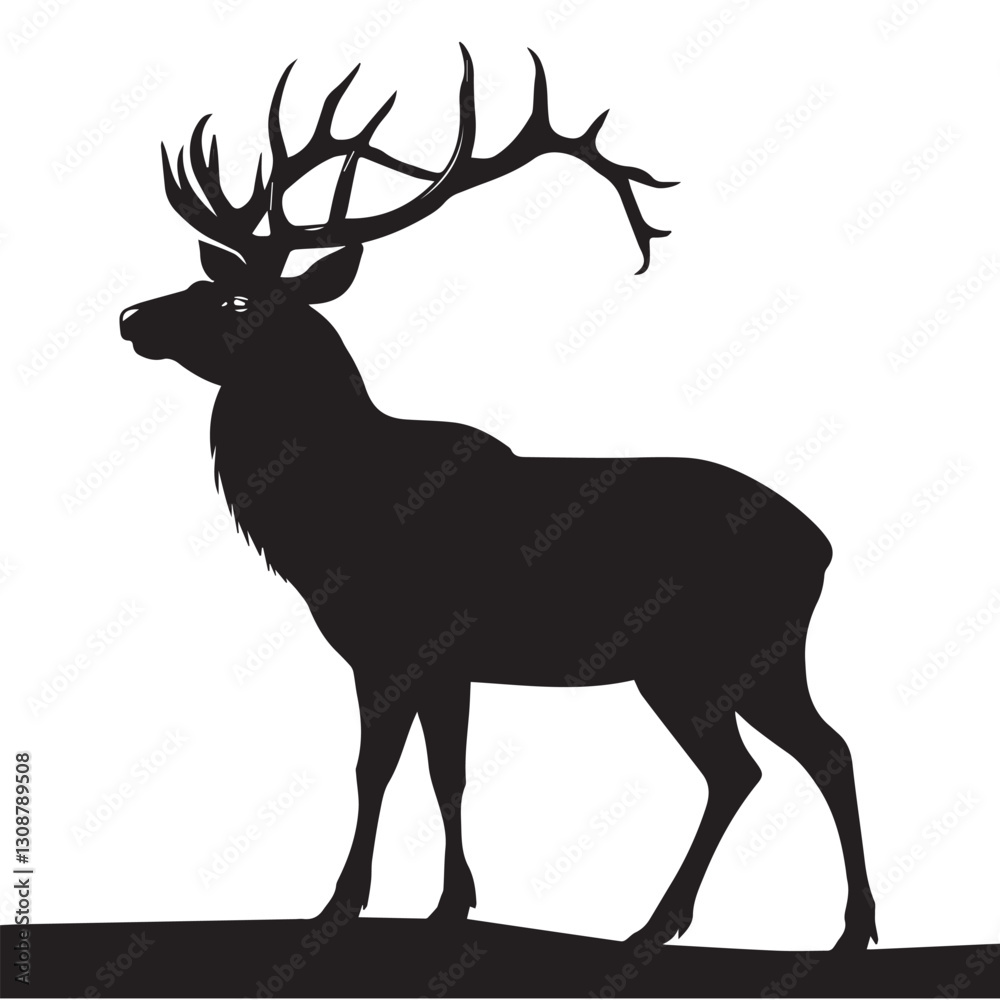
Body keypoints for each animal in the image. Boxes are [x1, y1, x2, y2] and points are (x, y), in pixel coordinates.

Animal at [119, 45, 878, 950]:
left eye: (233, 297)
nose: (130, 317)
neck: (329, 518)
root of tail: (823, 546)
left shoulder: (401, 646)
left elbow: (379, 769)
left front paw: (345, 903)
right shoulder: (437, 665)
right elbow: (443, 773)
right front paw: (449, 901)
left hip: (719, 655)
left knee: (792, 758)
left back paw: (822, 928)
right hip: (720, 667)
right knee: (777, 761)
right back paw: (692, 924)